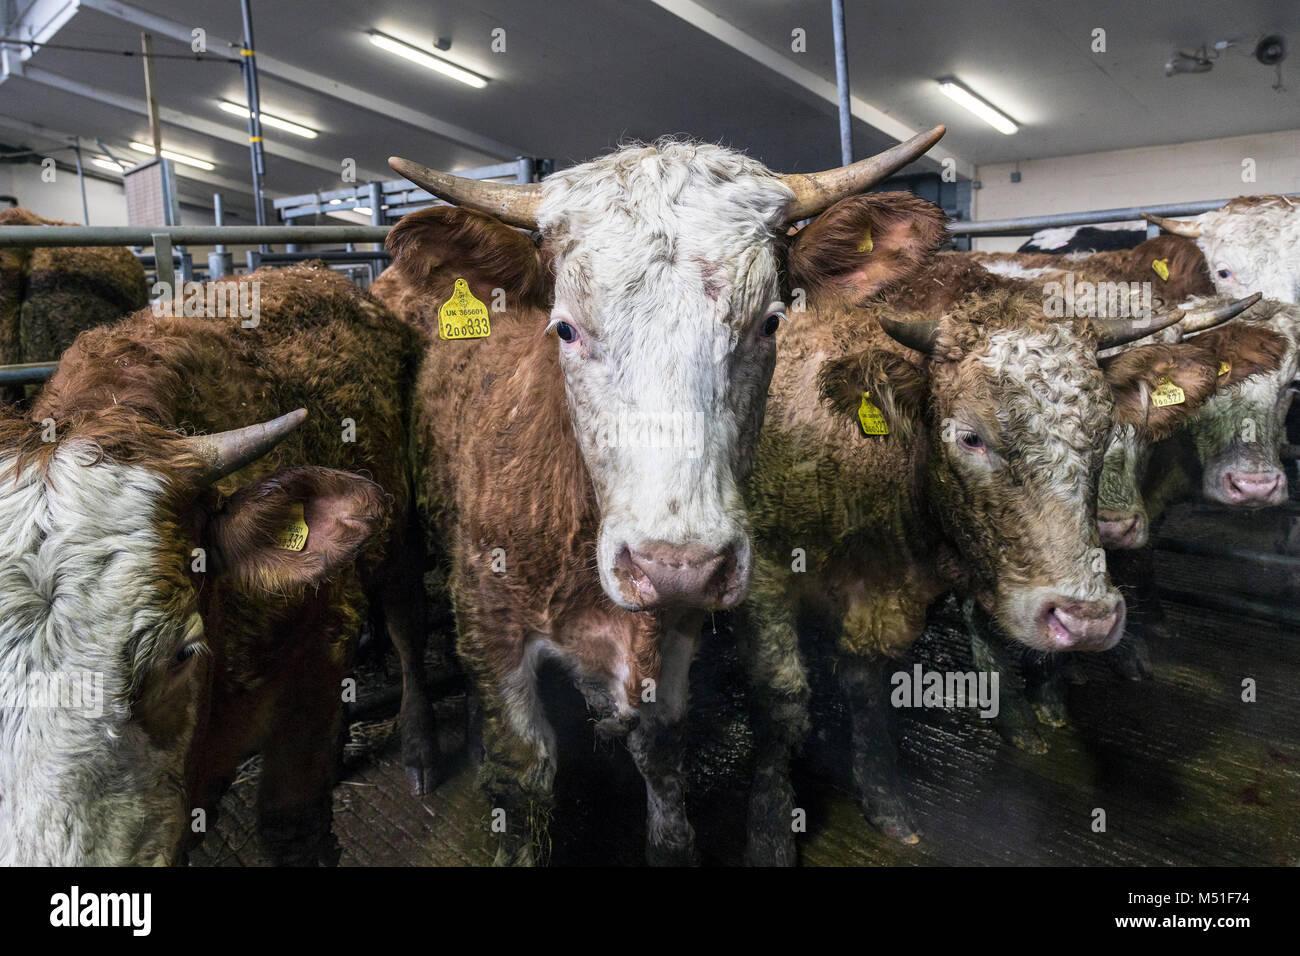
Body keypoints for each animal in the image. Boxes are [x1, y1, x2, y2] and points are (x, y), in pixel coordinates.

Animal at [371, 128, 951, 868]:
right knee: (406, 626)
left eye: (770, 324)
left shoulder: (675, 635)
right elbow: (522, 774)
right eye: (565, 329)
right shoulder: (492, 622)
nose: (678, 565)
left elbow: (663, 759)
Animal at [733, 192, 1248, 858]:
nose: (1087, 618)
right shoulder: (766, 574)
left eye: (1104, 431)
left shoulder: (882, 593)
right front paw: (770, 828)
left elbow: (865, 683)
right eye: (970, 437)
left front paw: (884, 799)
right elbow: (782, 699)